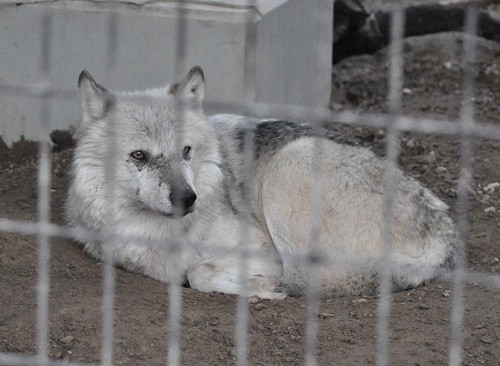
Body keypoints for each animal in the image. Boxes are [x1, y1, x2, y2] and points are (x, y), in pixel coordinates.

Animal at [66, 67, 458, 298]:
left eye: (186, 151)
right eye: (139, 155)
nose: (187, 198)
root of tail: (446, 232)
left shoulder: (261, 247)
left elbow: (198, 272)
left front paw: (257, 287)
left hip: (290, 164)